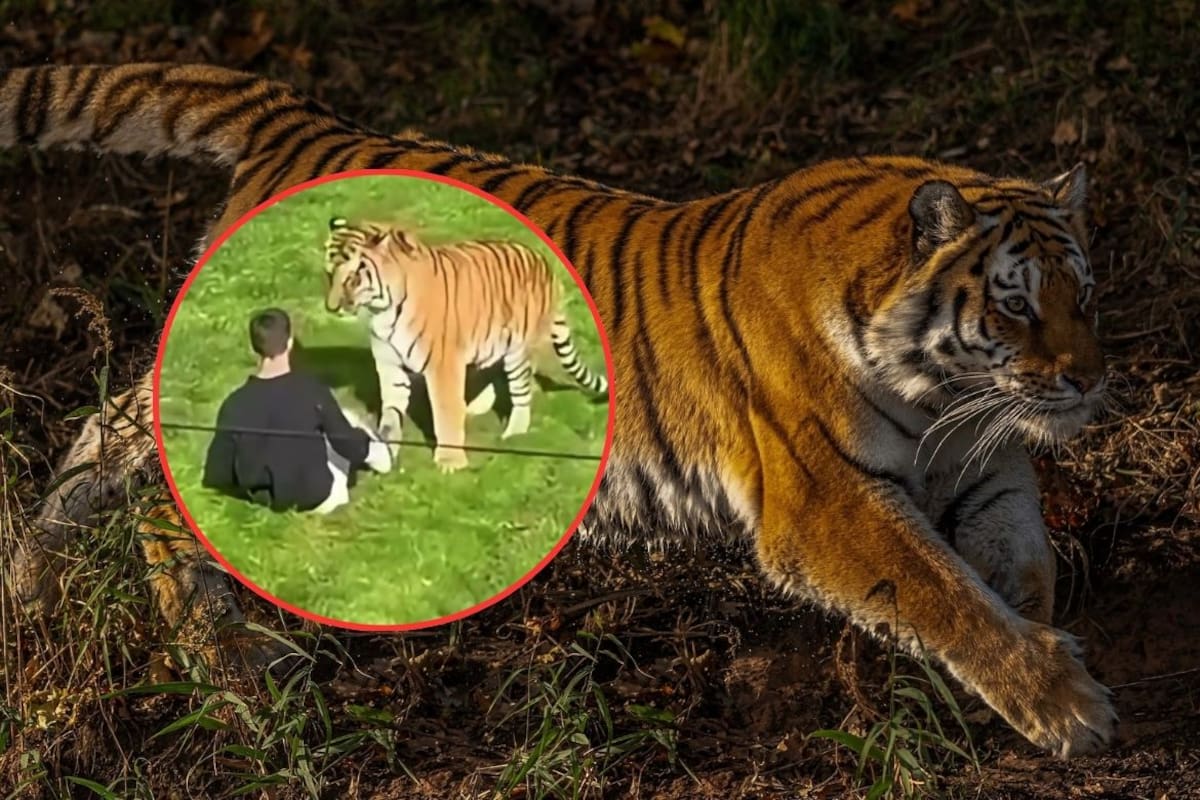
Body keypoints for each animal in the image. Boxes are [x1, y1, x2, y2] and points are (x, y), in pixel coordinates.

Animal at [322, 217, 609, 472]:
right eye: (329, 274)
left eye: (353, 278)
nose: (331, 308)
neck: (382, 310)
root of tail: (545, 265)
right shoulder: (390, 367)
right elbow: (391, 414)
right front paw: (386, 452)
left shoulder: (442, 365)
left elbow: (445, 412)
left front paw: (450, 463)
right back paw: (474, 408)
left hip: (518, 352)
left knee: (522, 391)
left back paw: (513, 433)